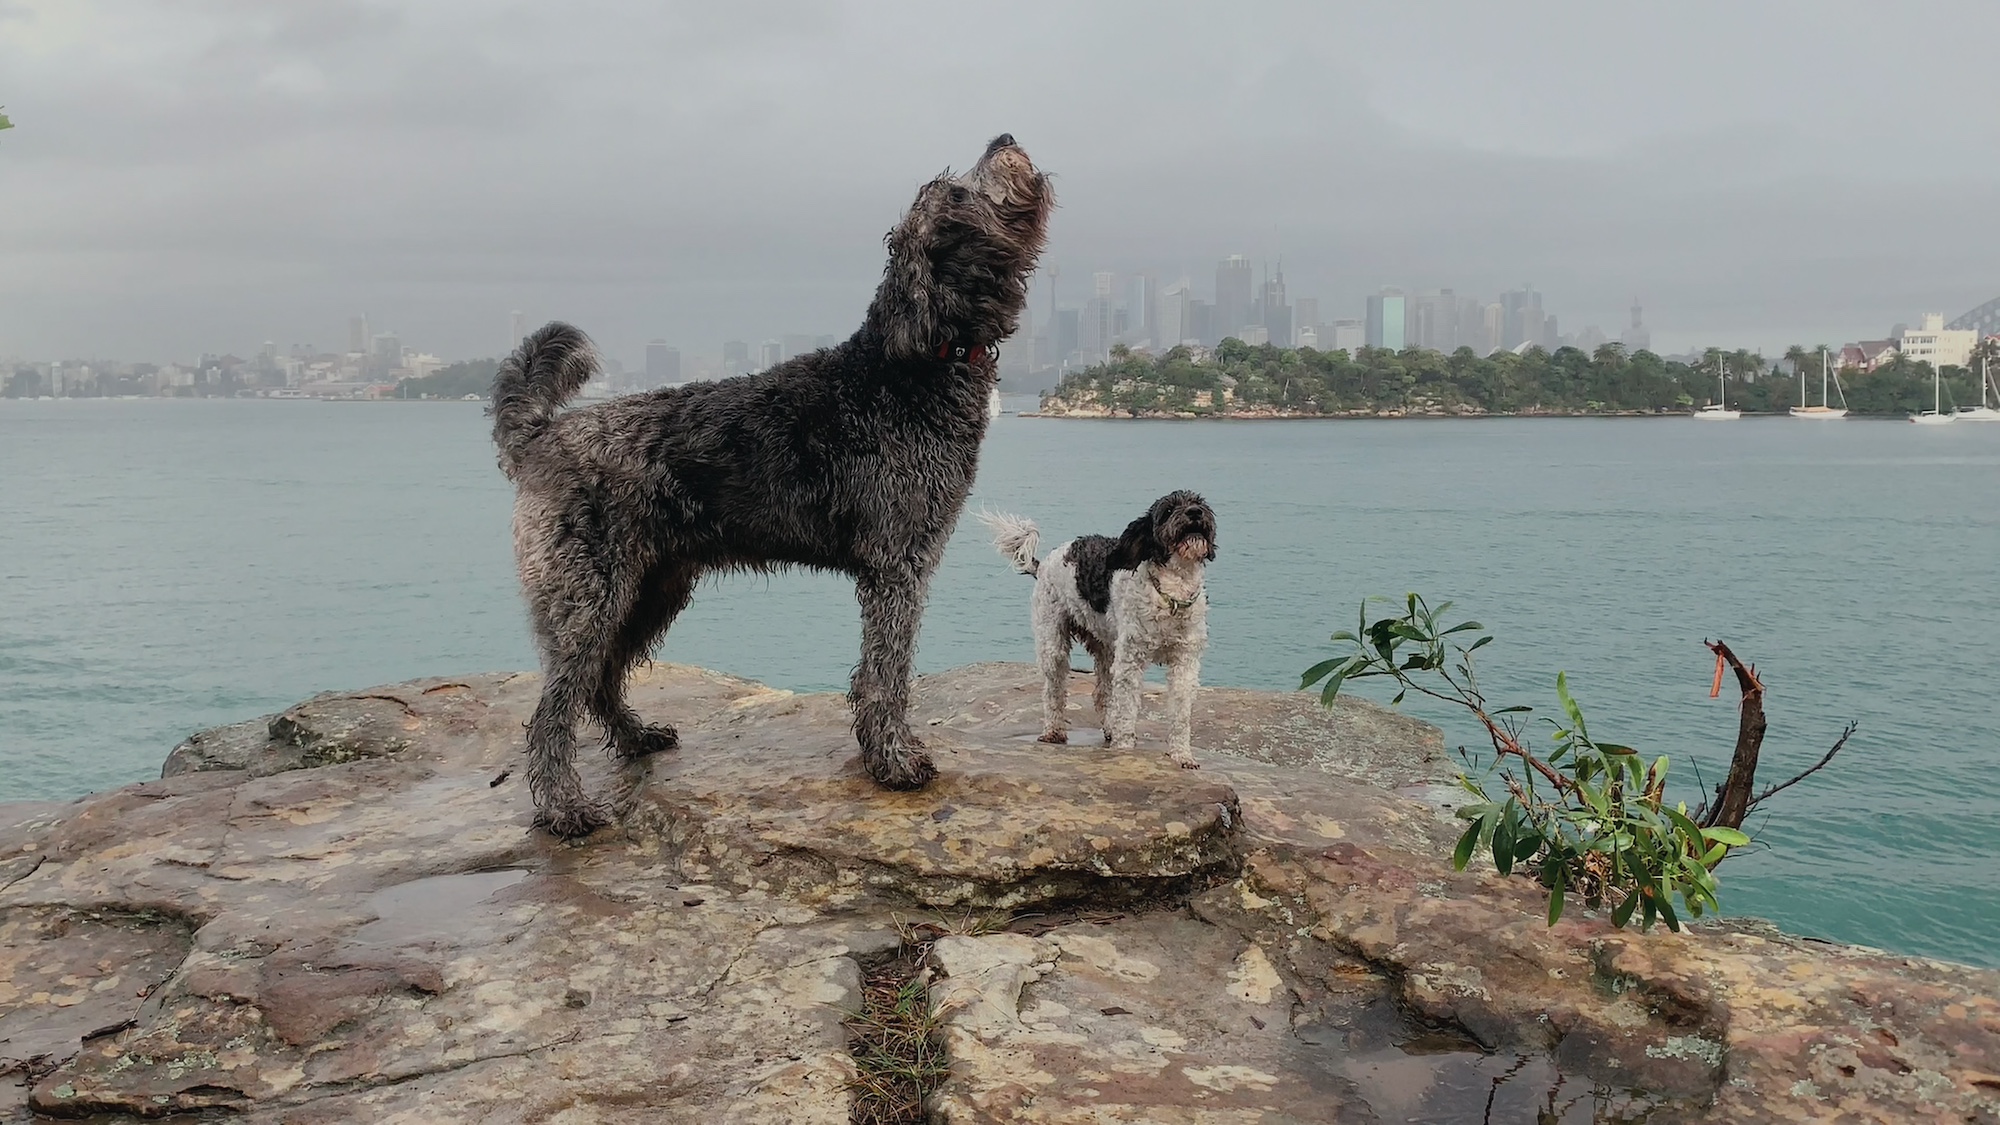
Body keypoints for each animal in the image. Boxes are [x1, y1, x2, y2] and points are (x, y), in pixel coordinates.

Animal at [492, 133, 1056, 832]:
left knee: (599, 681)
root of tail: (541, 435)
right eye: (955, 192)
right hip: (589, 596)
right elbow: (888, 672)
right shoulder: (898, 564)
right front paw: (894, 761)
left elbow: (878, 672)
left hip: (651, 587)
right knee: (554, 709)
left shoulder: (894, 567)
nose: (1003, 139)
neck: (911, 368)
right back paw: (565, 807)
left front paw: (881, 752)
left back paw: (636, 737)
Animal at [976, 490, 1208, 760]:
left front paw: (1183, 756)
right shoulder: (1131, 660)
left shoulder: (1185, 661)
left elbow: (1180, 712)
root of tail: (1044, 563)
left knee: (1101, 694)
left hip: (1105, 647)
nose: (1195, 512)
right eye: (1168, 511)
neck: (1170, 594)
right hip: (1053, 643)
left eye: (1200, 503)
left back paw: (1109, 728)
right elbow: (1127, 708)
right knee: (1054, 692)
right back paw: (1054, 731)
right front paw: (1125, 750)